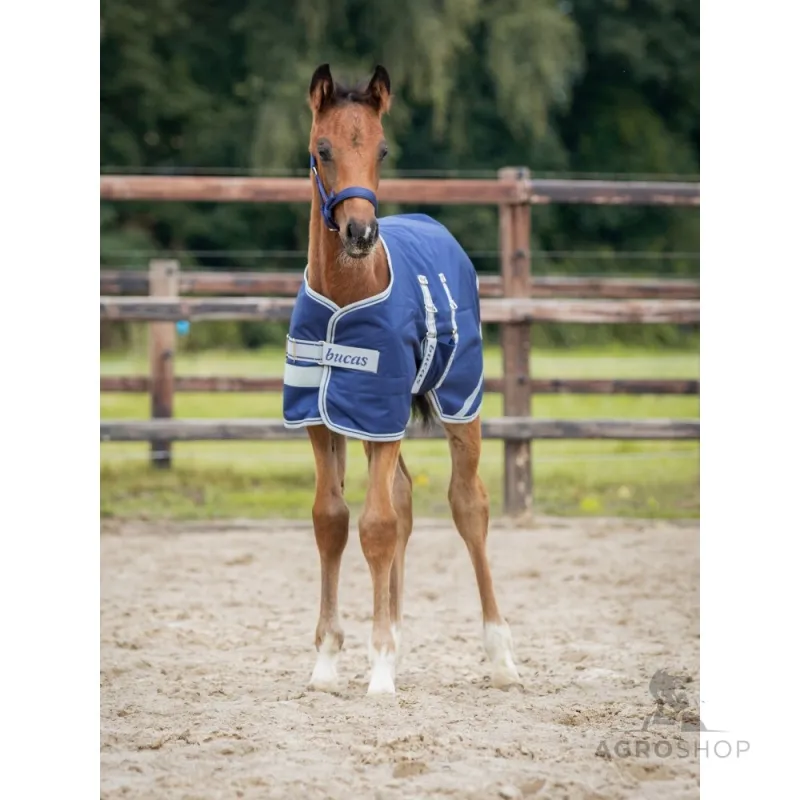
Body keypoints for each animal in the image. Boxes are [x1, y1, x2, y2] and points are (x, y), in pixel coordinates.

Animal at [282, 63, 521, 695]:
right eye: (323, 148)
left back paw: (501, 656)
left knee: (468, 506)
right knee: (407, 497)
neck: (347, 296)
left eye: (382, 149)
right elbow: (333, 520)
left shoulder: (380, 411)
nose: (361, 233)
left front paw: (381, 669)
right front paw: (329, 662)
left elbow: (378, 526)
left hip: (461, 402)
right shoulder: (326, 417)